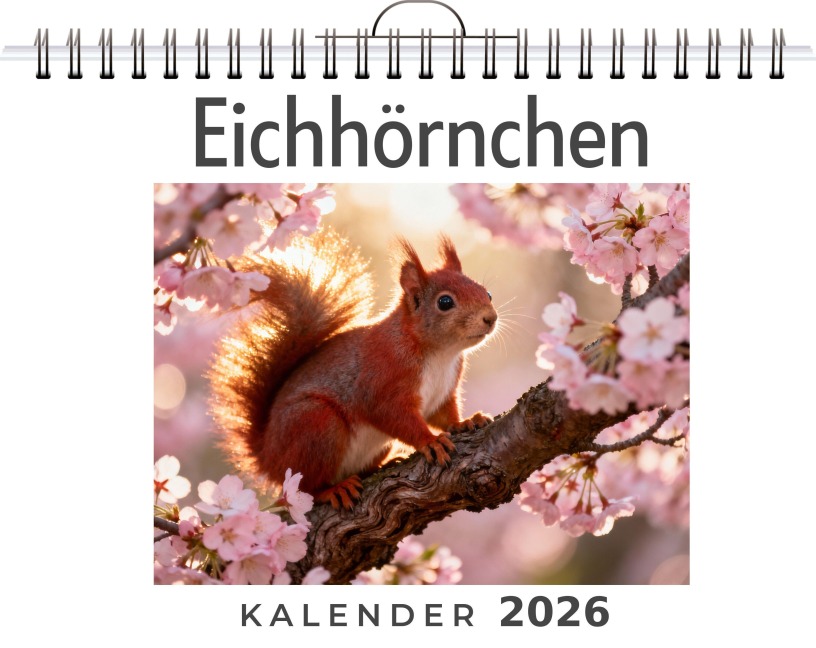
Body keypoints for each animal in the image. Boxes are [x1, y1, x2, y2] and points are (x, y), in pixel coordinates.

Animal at [208, 228, 498, 509]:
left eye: (488, 293)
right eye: (445, 302)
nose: (490, 318)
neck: (440, 354)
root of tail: (268, 459)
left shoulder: (443, 391)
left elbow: (443, 415)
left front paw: (465, 422)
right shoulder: (383, 376)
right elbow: (390, 413)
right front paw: (430, 441)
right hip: (316, 424)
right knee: (307, 487)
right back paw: (334, 490)